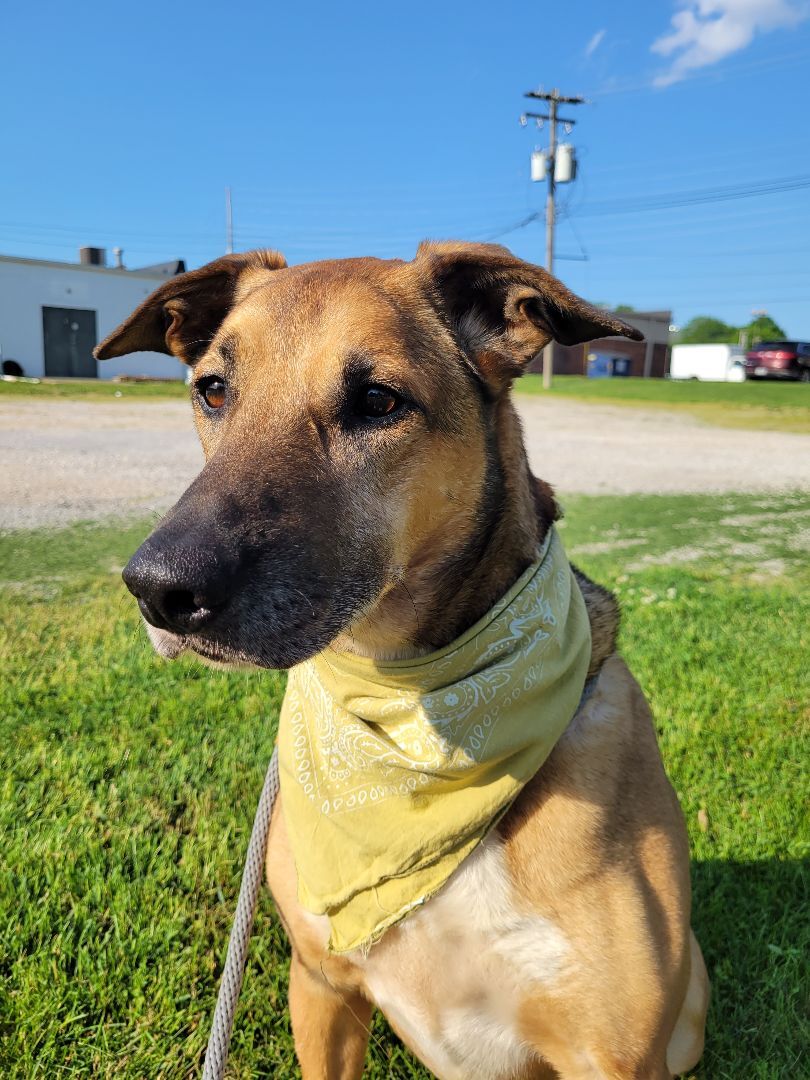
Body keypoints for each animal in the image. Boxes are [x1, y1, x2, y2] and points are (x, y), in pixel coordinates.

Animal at [98, 245, 708, 1080]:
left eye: (377, 401)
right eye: (213, 390)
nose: (158, 589)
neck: (409, 710)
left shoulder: (611, 1052)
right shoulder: (320, 984)